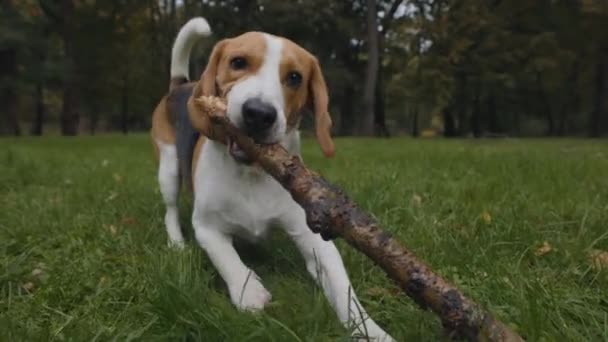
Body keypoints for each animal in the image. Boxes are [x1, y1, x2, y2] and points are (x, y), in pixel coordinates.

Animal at [150, 18, 392, 340]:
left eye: (294, 77)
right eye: (238, 62)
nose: (258, 114)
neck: (252, 173)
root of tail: (180, 84)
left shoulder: (313, 235)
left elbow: (343, 287)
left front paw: (371, 331)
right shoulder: (206, 227)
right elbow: (227, 258)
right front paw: (248, 292)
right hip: (169, 170)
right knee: (171, 210)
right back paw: (177, 243)